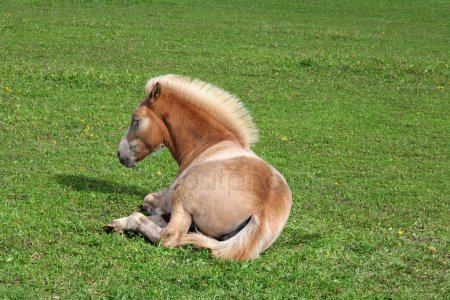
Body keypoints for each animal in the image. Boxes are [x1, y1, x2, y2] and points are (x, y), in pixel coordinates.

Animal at [106, 75, 294, 260]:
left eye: (136, 120)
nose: (120, 154)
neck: (210, 143)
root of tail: (262, 210)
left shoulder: (169, 194)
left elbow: (148, 199)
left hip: (182, 200)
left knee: (167, 235)